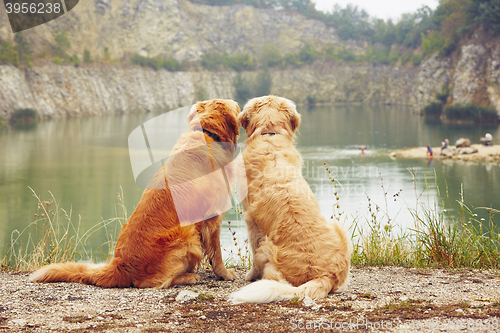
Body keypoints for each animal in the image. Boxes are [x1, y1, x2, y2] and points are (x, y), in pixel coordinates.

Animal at [29, 98, 240, 288]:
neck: (208, 135)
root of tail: (119, 266)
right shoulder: (213, 217)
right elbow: (216, 252)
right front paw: (224, 274)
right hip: (187, 235)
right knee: (154, 282)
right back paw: (188, 277)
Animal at [230, 94, 352, 302]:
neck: (269, 136)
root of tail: (325, 275)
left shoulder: (251, 220)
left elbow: (253, 251)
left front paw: (250, 275)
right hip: (339, 229)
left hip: (268, 248)